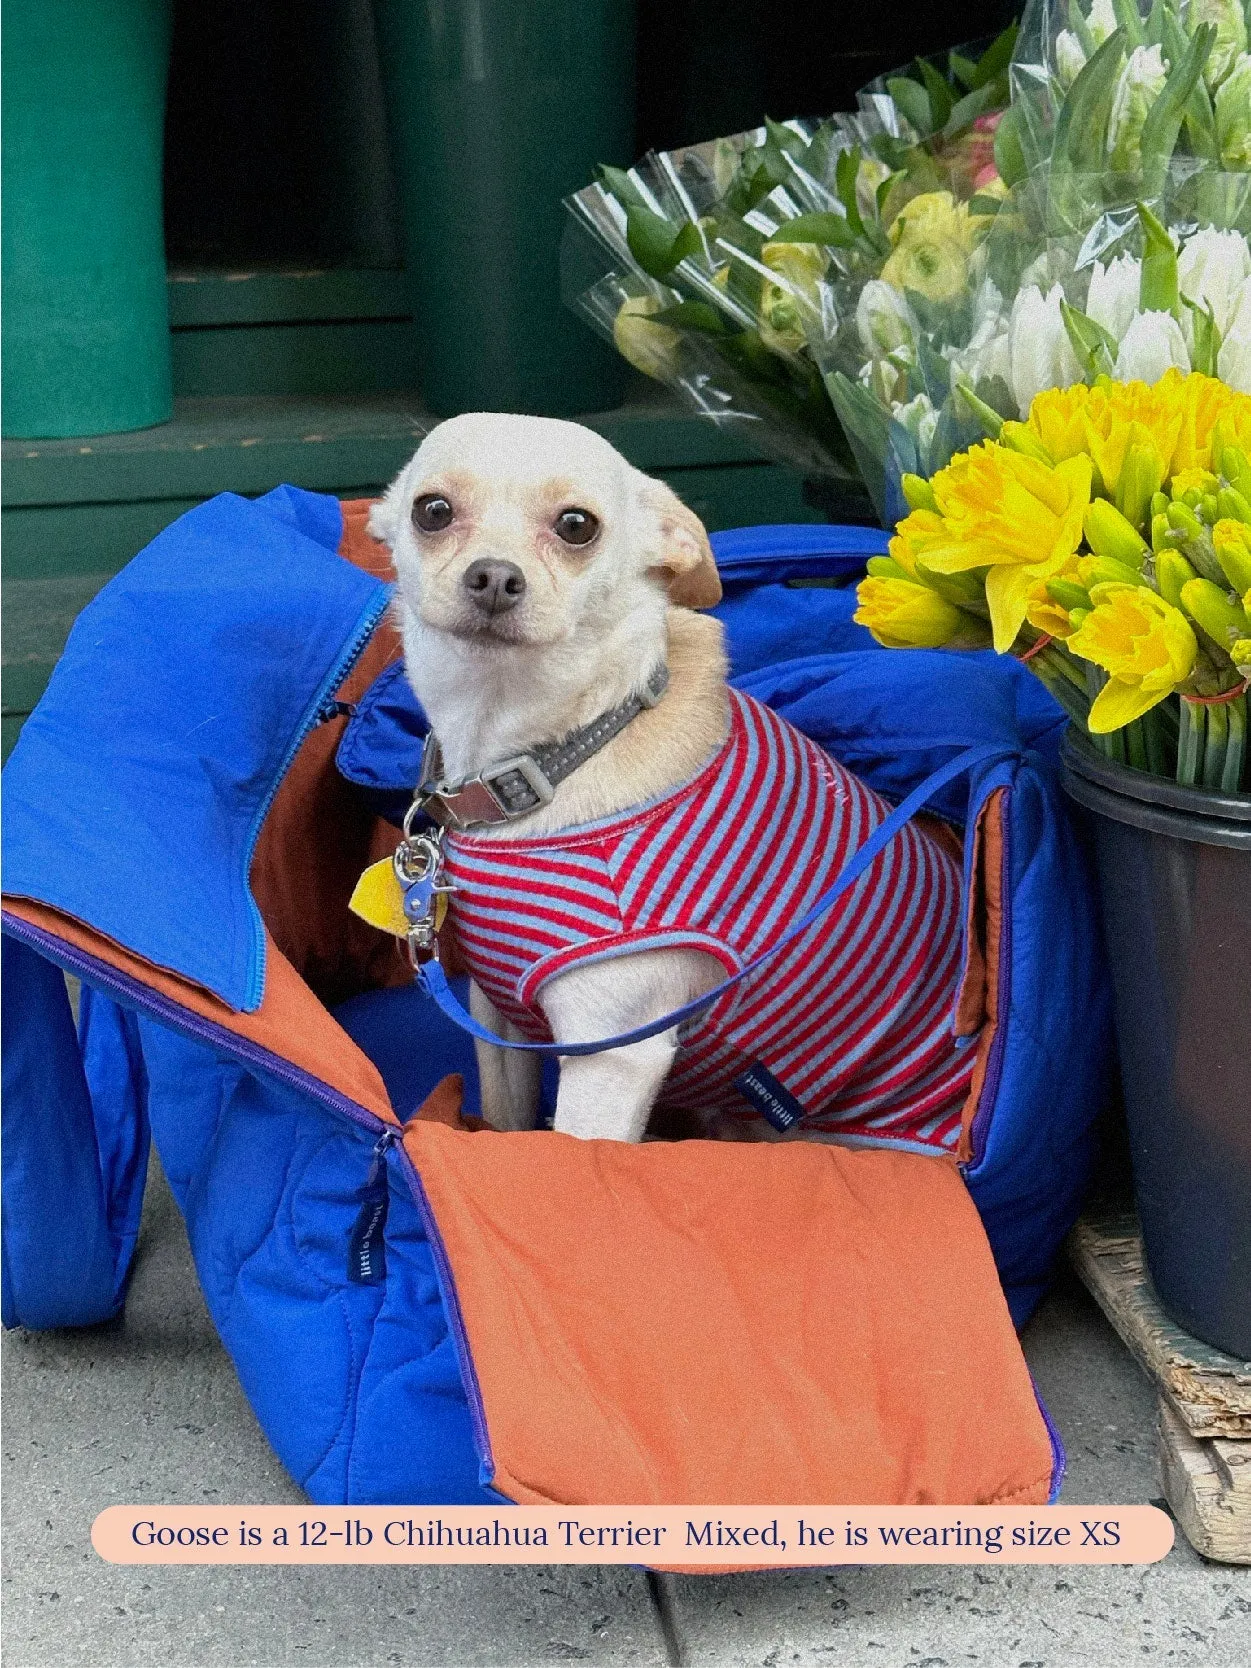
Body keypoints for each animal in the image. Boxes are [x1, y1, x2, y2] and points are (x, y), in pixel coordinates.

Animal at [371, 415, 980, 1147]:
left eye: (576, 526)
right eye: (432, 511)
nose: (493, 575)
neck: (559, 751)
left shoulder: (608, 1057)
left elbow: (575, 1154)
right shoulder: (498, 1021)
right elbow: (505, 1124)